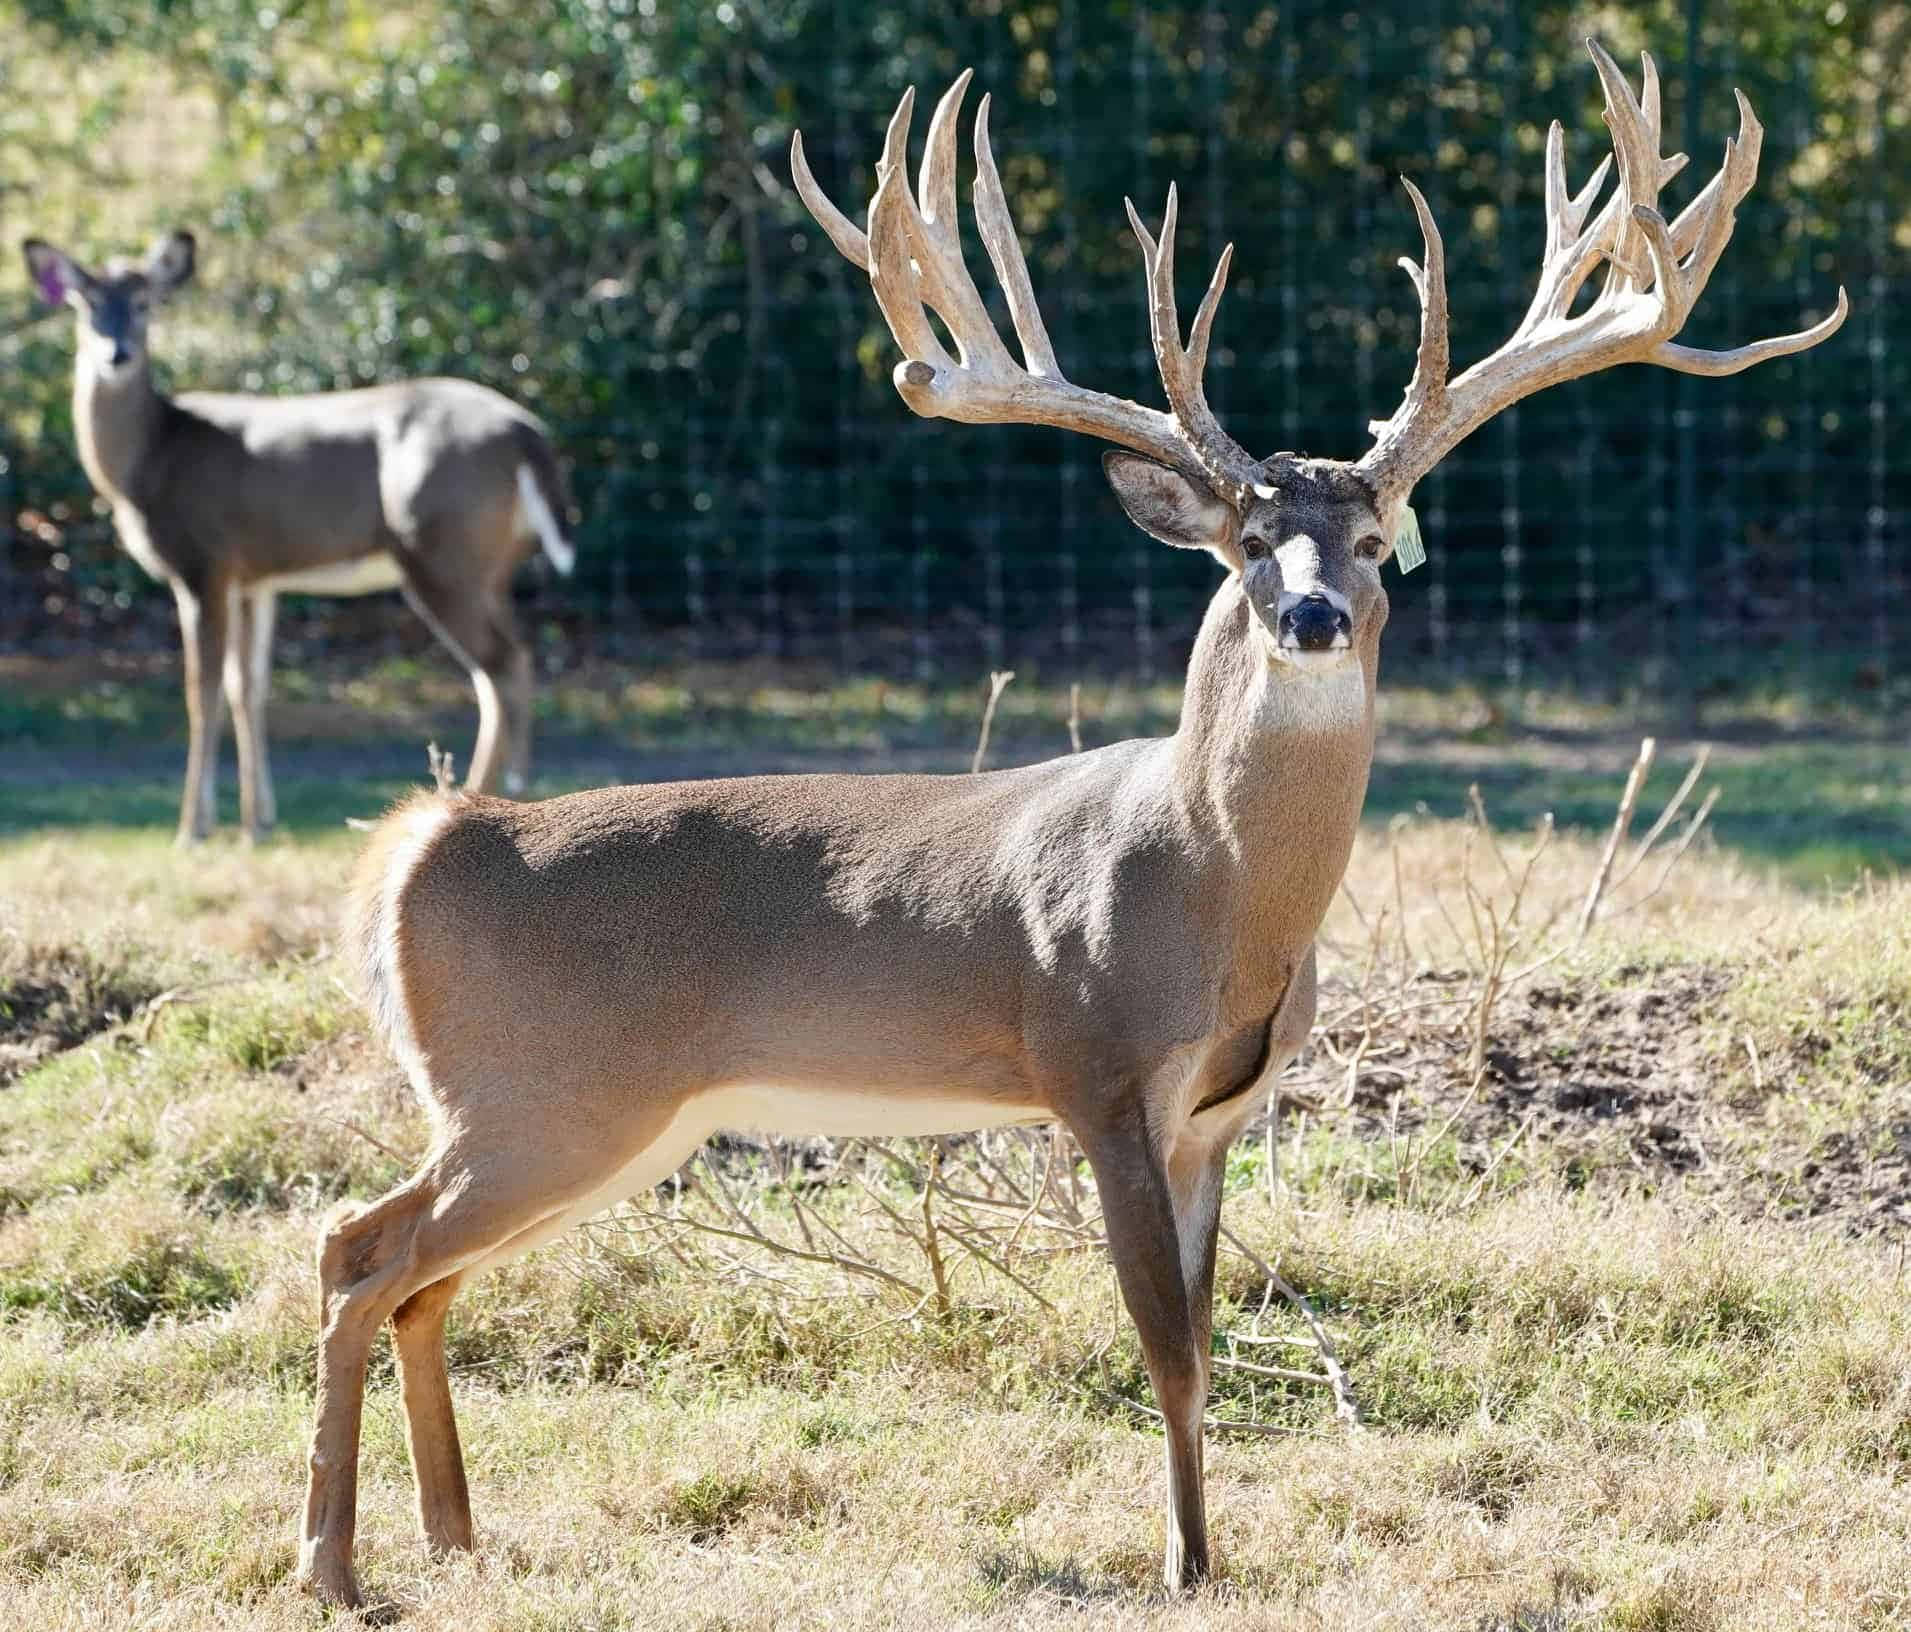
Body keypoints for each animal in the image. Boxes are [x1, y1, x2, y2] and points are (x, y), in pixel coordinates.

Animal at [20, 233, 573, 844]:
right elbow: (247, 687)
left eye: (145, 303)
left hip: (439, 552)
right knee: (519, 654)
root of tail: (527, 434)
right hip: (489, 567)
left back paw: (469, 801)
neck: (151, 457)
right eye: (87, 302)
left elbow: (201, 691)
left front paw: (193, 829)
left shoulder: (202, 563)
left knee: (498, 667)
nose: (115, 354)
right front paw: (257, 821)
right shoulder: (255, 579)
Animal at [290, 41, 1842, 1612]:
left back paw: (456, 1538)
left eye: (1369, 536)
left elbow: (1205, 1328)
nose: (1310, 614)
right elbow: (1162, 1337)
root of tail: (416, 850)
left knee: (414, 1272)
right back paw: (332, 1565)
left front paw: (1206, 1549)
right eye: (1244, 541)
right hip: (542, 1094)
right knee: (358, 1248)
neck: (1217, 895)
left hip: (590, 1116)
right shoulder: (1095, 1067)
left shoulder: (1220, 1111)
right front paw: (1186, 1566)